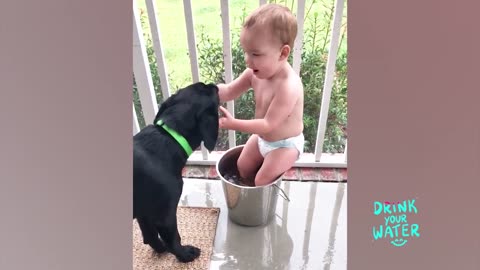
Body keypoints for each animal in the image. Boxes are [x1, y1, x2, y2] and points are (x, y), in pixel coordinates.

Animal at [133, 81, 219, 262]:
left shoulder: (144, 212)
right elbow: (173, 239)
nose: (213, 84)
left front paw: (160, 249)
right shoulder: (164, 215)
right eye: (208, 90)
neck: (171, 137)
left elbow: (150, 236)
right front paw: (185, 254)